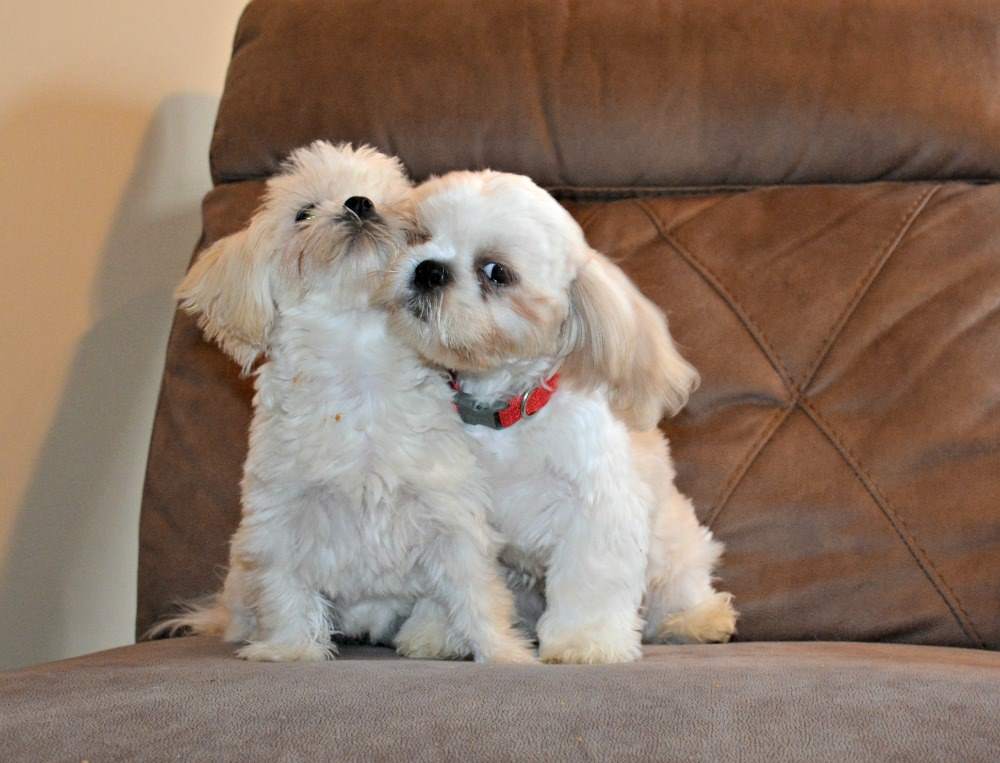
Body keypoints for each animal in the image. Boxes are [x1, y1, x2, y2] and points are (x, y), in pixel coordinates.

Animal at [152, 142, 536, 664]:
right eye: (303, 212)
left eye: (388, 199)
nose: (359, 203)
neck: (358, 359)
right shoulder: (280, 517)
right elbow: (286, 589)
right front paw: (291, 649)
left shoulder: (449, 511)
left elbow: (476, 592)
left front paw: (502, 652)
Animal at [386, 172, 740, 664]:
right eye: (420, 236)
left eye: (496, 272)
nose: (428, 269)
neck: (504, 413)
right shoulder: (457, 512)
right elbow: (458, 585)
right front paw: (438, 633)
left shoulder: (596, 511)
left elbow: (589, 582)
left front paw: (584, 642)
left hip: (673, 544)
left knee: (681, 586)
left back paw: (696, 621)